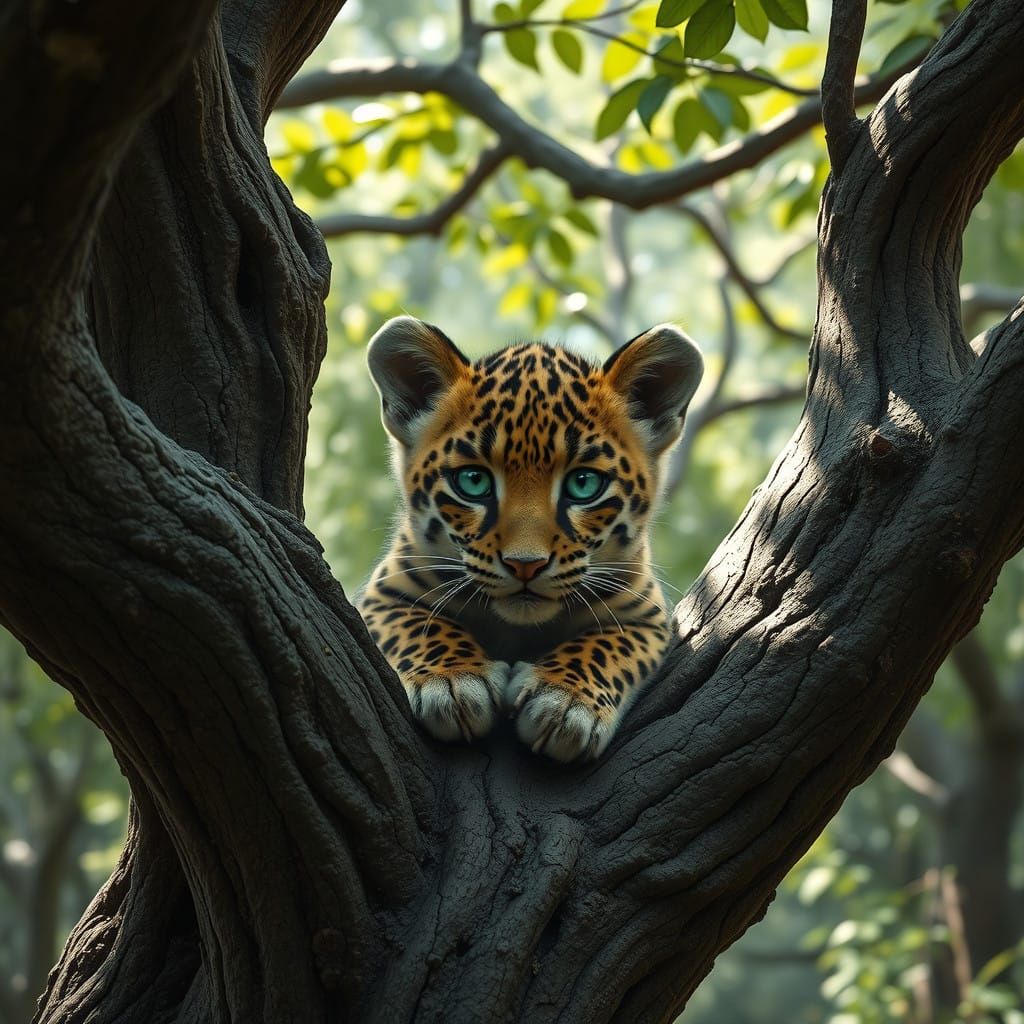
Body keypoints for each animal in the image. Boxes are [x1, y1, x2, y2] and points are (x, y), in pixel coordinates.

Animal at [357, 316, 703, 762]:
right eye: (473, 481)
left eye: (583, 484)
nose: (526, 565)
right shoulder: (385, 594)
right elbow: (420, 626)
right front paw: (452, 681)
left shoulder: (644, 614)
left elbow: (607, 645)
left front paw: (566, 701)